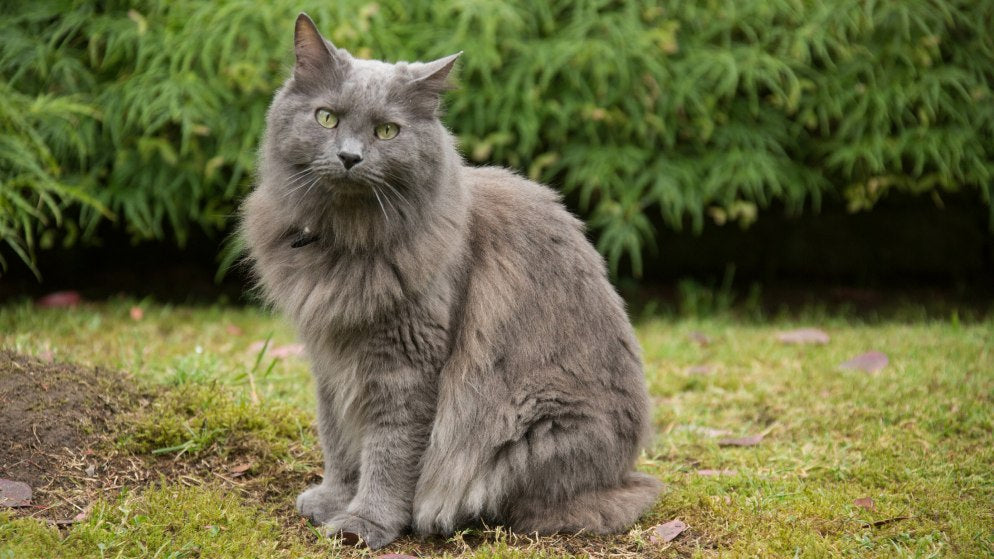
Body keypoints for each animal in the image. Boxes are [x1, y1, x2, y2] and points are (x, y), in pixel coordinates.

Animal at [240, 12, 660, 552]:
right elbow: (338, 439)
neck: (346, 243)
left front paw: (364, 523)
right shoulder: (329, 358)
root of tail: (622, 474)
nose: (350, 157)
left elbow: (389, 452)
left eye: (387, 130)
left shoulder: (407, 364)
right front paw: (334, 500)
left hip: (530, 428)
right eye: (326, 118)